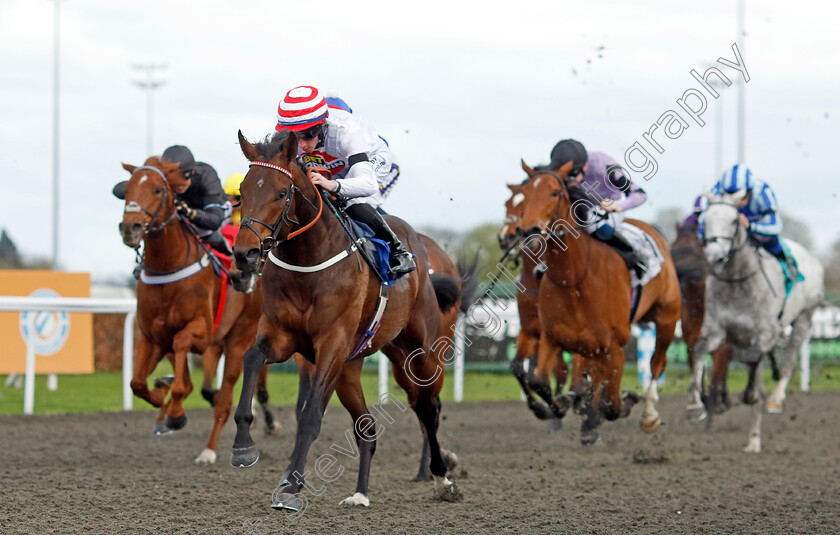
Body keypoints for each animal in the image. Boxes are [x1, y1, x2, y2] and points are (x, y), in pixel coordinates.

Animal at [118, 158, 268, 464]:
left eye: (157, 189)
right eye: (126, 189)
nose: (130, 227)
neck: (167, 266)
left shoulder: (200, 331)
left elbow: (182, 348)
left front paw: (175, 412)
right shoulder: (151, 336)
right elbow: (138, 383)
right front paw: (164, 399)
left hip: (238, 339)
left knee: (223, 401)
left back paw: (210, 451)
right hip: (215, 344)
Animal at [230, 131, 460, 510]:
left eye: (281, 193)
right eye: (242, 192)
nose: (244, 255)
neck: (308, 261)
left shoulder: (332, 343)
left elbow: (310, 414)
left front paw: (292, 488)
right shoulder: (281, 336)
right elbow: (250, 358)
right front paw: (243, 447)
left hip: (418, 352)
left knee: (427, 406)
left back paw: (441, 477)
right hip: (351, 369)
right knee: (367, 427)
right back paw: (360, 493)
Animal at [498, 161, 684, 446]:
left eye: (554, 193)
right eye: (523, 196)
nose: (526, 231)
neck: (576, 279)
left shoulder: (614, 347)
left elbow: (612, 404)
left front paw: (614, 403)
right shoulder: (547, 335)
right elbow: (536, 377)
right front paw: (558, 406)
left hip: (667, 318)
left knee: (656, 362)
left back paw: (647, 415)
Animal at [684, 192, 824, 452]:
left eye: (733, 221)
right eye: (705, 220)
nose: (714, 256)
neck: (737, 281)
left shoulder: (765, 332)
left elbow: (754, 362)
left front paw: (749, 396)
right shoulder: (716, 332)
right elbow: (699, 351)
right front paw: (694, 406)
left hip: (804, 318)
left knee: (788, 361)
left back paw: (775, 400)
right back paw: (753, 441)